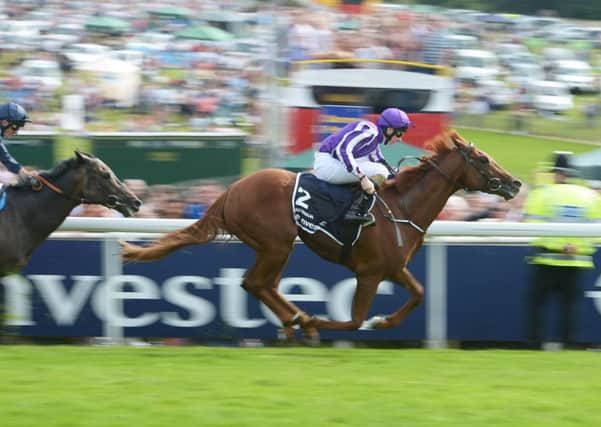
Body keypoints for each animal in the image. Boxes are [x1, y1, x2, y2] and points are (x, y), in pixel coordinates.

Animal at [120, 130, 520, 342]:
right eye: (483, 159)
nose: (515, 183)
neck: (402, 209)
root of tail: (231, 190)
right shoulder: (370, 272)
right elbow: (355, 320)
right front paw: (322, 322)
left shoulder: (394, 268)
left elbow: (420, 293)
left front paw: (383, 322)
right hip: (277, 244)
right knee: (255, 283)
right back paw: (299, 321)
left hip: (274, 247)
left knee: (262, 285)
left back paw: (293, 320)